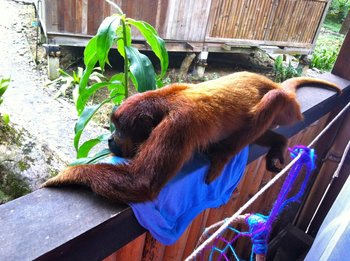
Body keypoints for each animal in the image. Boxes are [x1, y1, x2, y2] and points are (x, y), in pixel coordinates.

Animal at [41, 71, 342, 203]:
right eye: (113, 128)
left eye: (120, 130)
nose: (110, 141)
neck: (165, 102)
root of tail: (274, 82)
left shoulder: (177, 127)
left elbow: (141, 182)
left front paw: (67, 174)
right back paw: (277, 143)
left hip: (289, 108)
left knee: (273, 101)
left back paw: (221, 155)